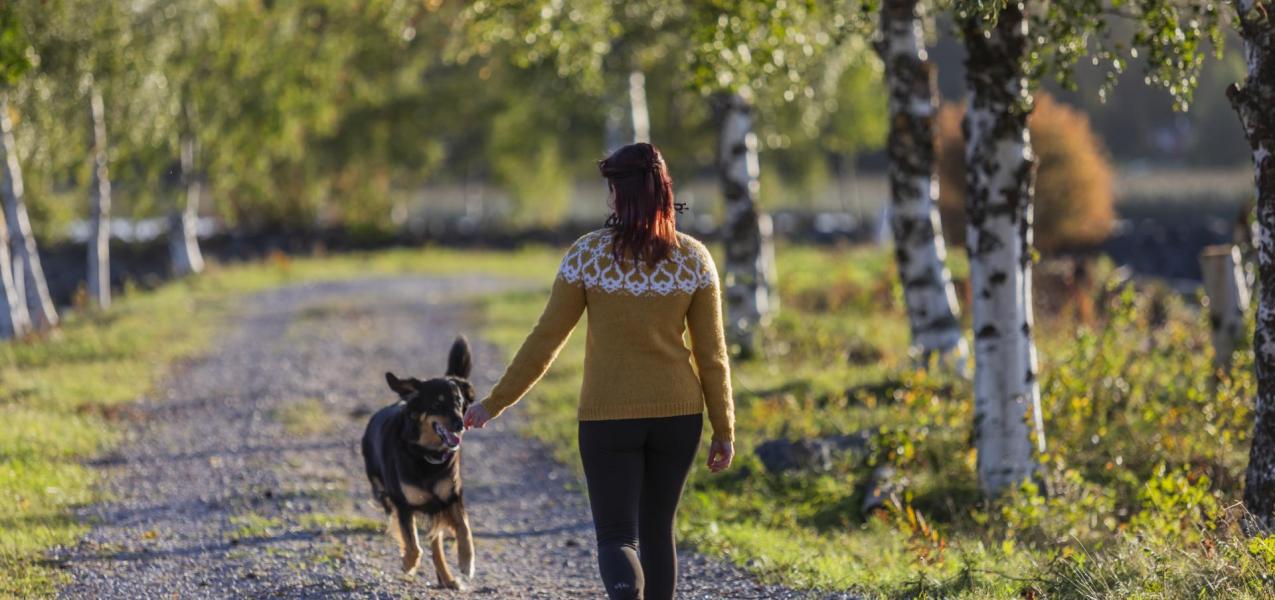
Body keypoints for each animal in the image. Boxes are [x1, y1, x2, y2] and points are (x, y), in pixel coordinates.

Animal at [362, 336, 476, 588]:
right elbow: (412, 542)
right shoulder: (402, 503)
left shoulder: (451, 497)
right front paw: (408, 563)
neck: (426, 454)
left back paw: (447, 577)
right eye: (437, 403)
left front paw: (466, 561)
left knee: (436, 543)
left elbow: (464, 529)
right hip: (383, 491)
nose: (460, 423)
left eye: (459, 401)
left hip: (434, 508)